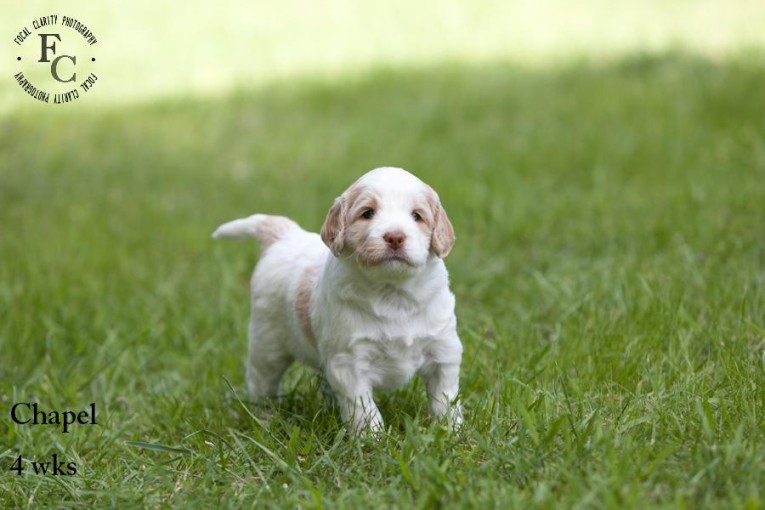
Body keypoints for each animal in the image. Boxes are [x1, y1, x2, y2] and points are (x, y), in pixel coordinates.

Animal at [215, 166, 466, 430]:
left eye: (417, 216)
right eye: (368, 213)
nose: (395, 237)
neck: (393, 292)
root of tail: (285, 235)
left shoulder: (443, 350)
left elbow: (445, 396)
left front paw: (451, 429)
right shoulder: (349, 363)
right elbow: (364, 409)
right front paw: (372, 437)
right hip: (267, 343)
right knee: (262, 383)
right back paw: (264, 419)